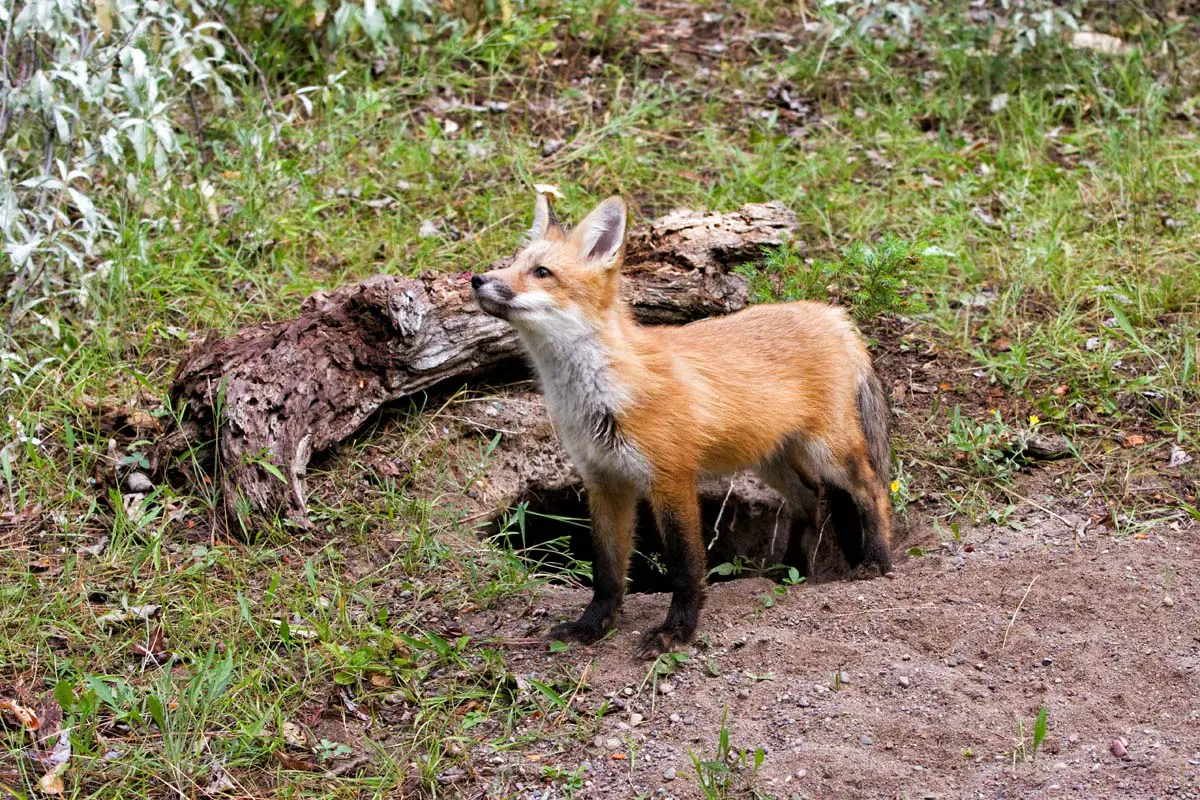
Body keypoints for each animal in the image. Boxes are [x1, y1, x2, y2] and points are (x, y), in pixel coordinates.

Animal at [468, 191, 892, 657]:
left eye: (541, 272)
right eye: (512, 263)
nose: (477, 279)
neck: (602, 397)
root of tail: (832, 314)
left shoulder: (671, 478)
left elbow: (684, 566)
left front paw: (677, 631)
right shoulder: (603, 482)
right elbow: (607, 569)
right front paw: (592, 625)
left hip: (829, 449)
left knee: (870, 488)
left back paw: (877, 561)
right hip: (771, 460)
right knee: (810, 498)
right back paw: (790, 570)